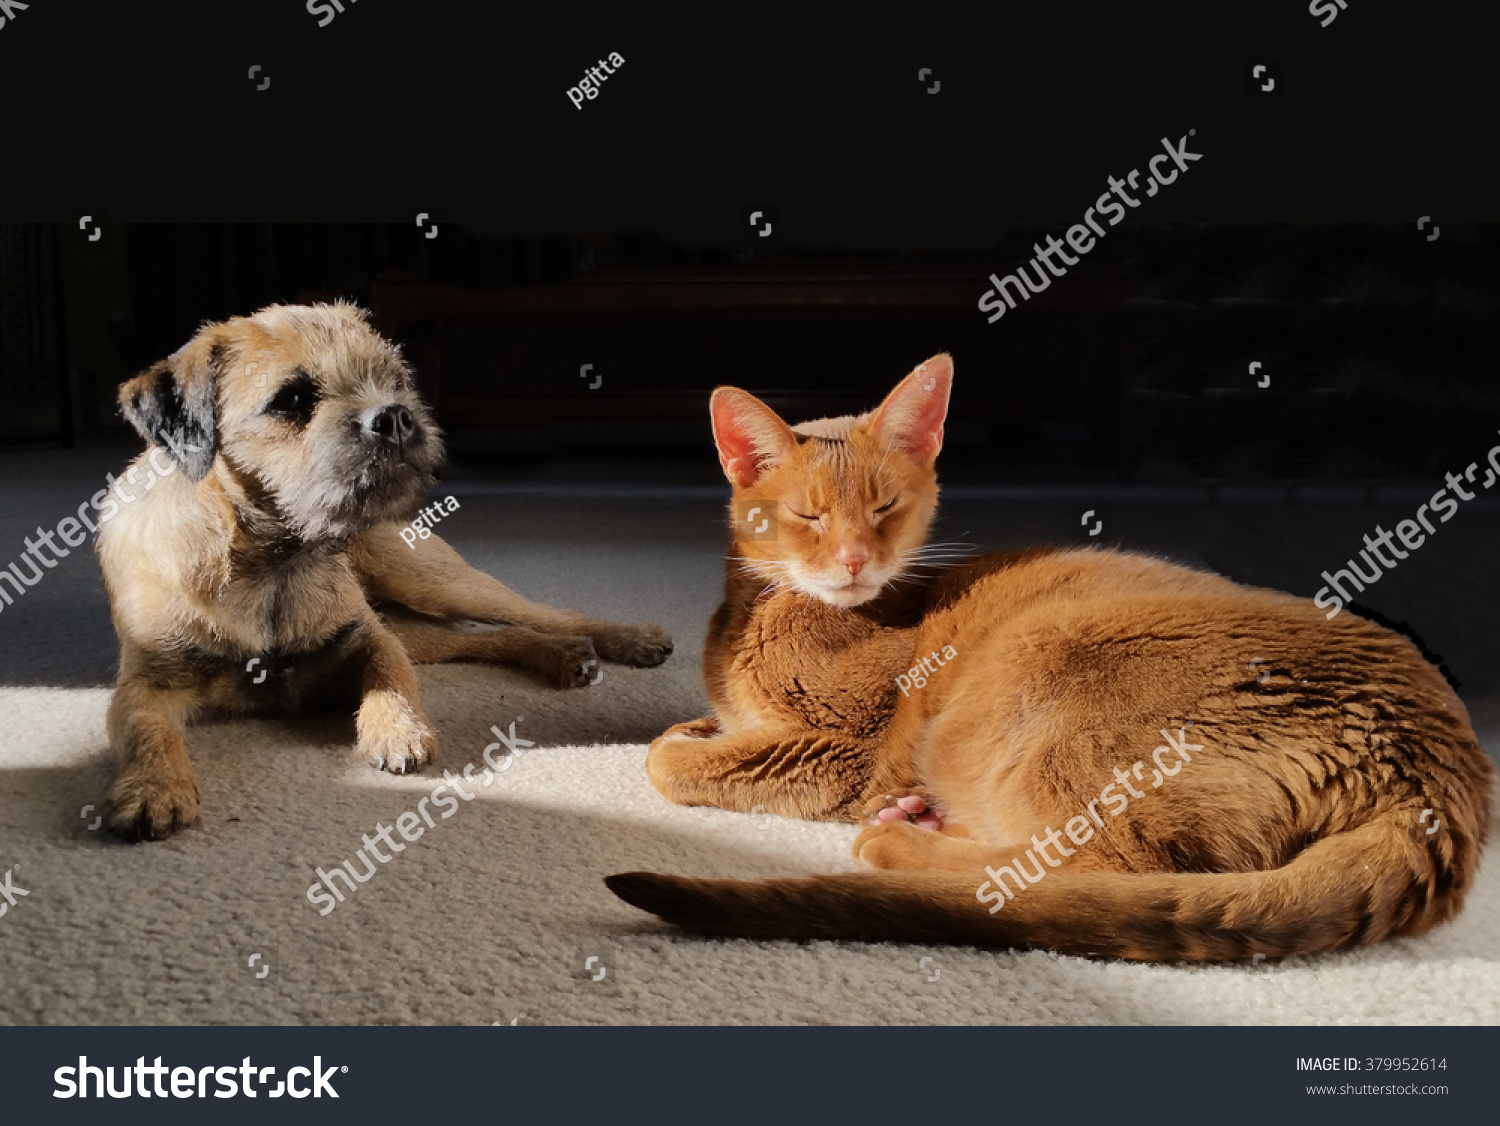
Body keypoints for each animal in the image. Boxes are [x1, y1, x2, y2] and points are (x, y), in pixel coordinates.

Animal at [99, 304, 675, 839]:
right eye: (291, 400)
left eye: (396, 380)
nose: (396, 416)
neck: (276, 562)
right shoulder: (146, 684)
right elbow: (148, 730)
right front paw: (153, 787)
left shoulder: (369, 638)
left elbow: (390, 678)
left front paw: (396, 730)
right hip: (414, 618)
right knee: (475, 639)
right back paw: (561, 656)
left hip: (433, 583)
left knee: (546, 614)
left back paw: (628, 639)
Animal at [603, 353, 1494, 959]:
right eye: (809, 516)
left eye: (886, 507)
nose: (854, 561)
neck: (756, 615)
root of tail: (1437, 778)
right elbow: (688, 732)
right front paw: (695, 725)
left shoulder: (845, 745)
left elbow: (667, 760)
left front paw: (686, 746)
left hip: (1038, 696)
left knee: (1101, 868)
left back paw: (900, 840)